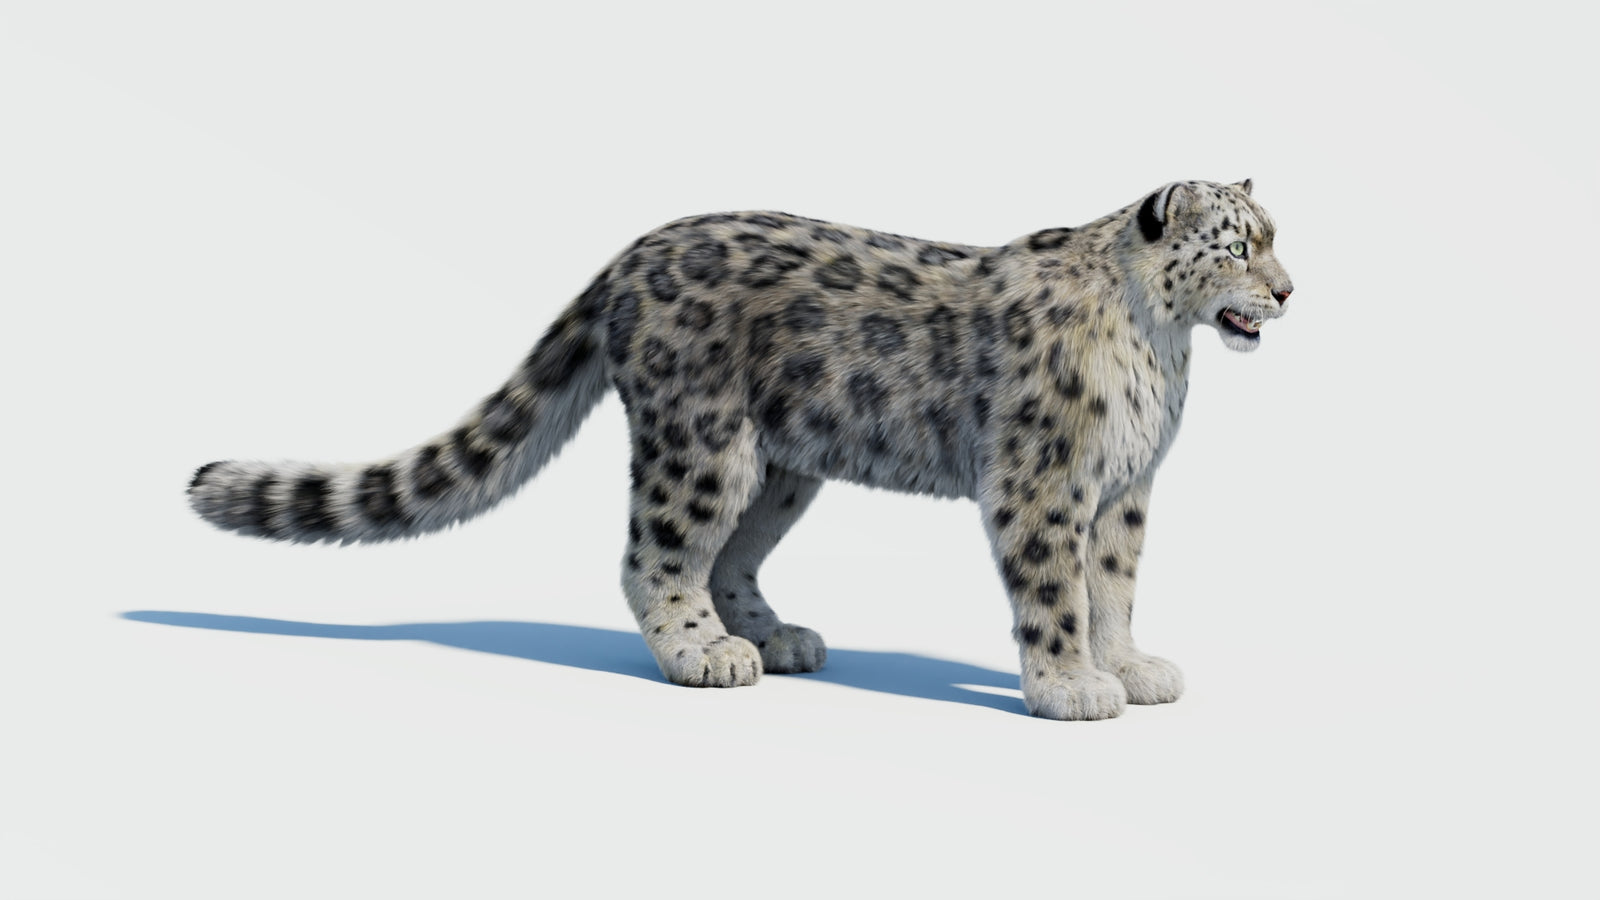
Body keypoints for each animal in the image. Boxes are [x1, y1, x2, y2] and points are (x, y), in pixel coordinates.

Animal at [188, 179, 1294, 720]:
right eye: (1239, 245)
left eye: (1277, 235)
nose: (1288, 292)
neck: (1160, 347)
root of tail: (629, 255)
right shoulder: (1043, 480)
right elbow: (1055, 591)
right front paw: (1069, 687)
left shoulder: (1124, 488)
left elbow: (1112, 585)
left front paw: (1130, 666)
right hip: (702, 442)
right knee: (656, 553)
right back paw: (702, 655)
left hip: (782, 466)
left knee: (730, 557)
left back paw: (771, 637)